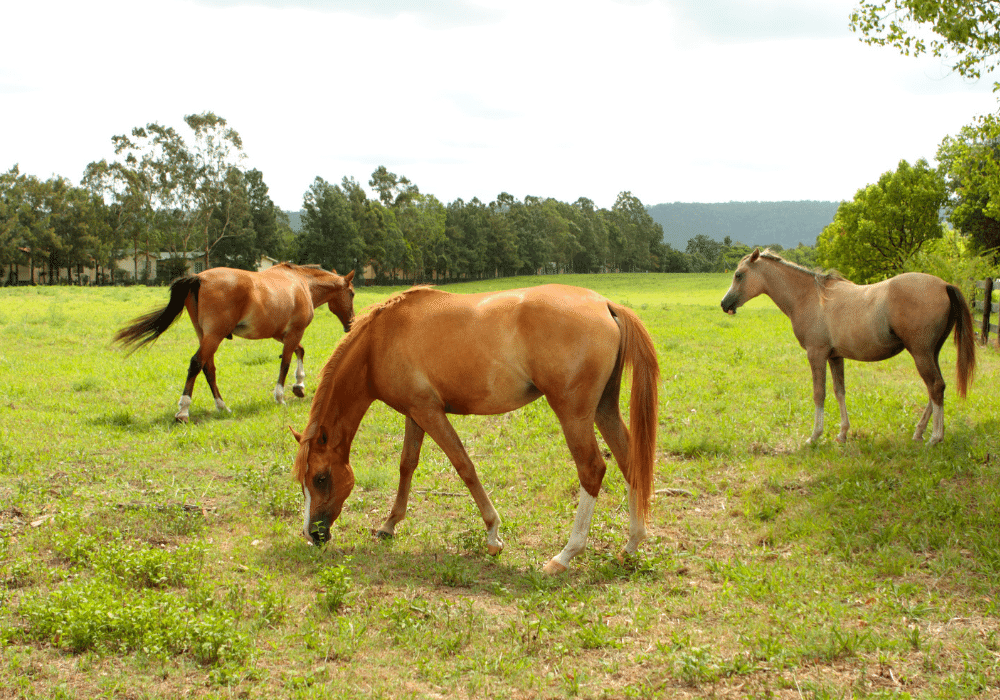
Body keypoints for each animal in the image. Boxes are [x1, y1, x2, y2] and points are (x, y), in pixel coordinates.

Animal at [112, 262, 356, 422]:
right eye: (352, 294)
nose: (351, 324)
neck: (302, 283)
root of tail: (199, 278)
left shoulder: (281, 334)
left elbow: (300, 352)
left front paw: (299, 386)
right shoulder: (294, 332)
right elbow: (286, 362)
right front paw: (281, 396)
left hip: (205, 336)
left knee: (208, 368)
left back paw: (222, 406)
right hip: (214, 336)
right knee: (196, 363)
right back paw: (183, 410)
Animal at [292, 284, 660, 576]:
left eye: (321, 478)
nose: (313, 535)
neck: (379, 341)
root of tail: (606, 304)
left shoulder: (429, 412)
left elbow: (463, 465)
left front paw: (493, 535)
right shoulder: (414, 413)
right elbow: (406, 465)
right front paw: (389, 524)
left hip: (574, 414)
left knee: (592, 470)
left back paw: (565, 555)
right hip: (604, 409)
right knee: (629, 462)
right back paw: (631, 545)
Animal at [724, 249, 972, 446]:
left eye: (739, 275)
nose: (724, 304)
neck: (809, 297)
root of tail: (944, 285)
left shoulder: (816, 354)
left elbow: (819, 393)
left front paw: (814, 436)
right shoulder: (835, 357)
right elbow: (839, 391)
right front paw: (842, 433)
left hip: (921, 353)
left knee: (935, 386)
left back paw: (935, 437)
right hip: (931, 353)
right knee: (936, 388)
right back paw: (920, 432)